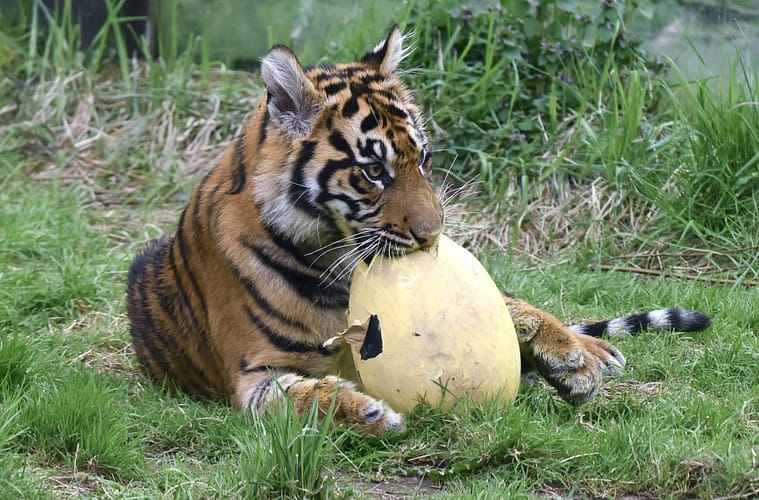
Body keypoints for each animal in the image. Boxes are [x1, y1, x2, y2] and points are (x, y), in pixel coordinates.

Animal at [126, 26, 710, 434]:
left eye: (423, 158)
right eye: (372, 170)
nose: (433, 235)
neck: (332, 259)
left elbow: (512, 309)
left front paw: (570, 357)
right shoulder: (253, 373)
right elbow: (303, 394)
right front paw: (363, 412)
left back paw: (585, 353)